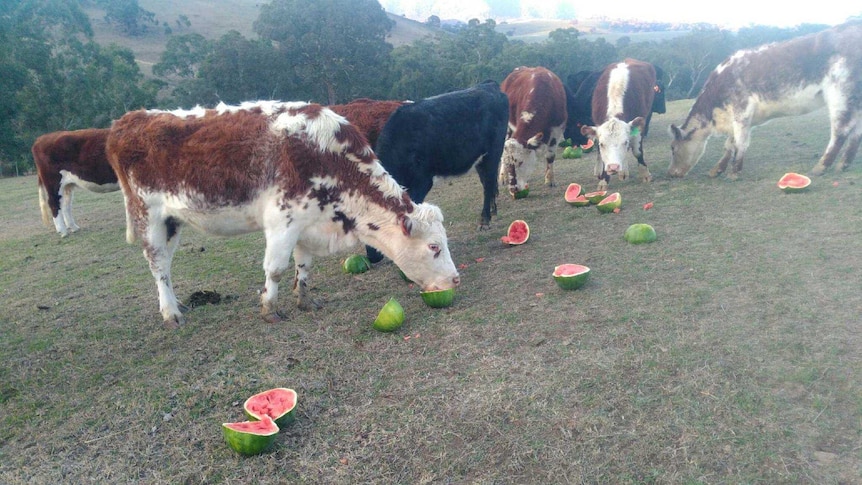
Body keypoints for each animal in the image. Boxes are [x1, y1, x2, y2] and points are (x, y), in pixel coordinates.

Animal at [107, 100, 462, 328]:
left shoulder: (308, 222)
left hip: (172, 221)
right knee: (157, 265)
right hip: (149, 217)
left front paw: (305, 300)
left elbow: (303, 265)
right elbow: (276, 268)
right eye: (434, 247)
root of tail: (127, 120)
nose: (455, 278)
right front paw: (270, 309)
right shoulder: (283, 220)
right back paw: (171, 313)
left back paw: (176, 303)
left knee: (165, 264)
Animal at [500, 66, 572, 195]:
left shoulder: (557, 129)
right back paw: (503, 176)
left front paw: (550, 180)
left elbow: (550, 155)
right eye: (509, 164)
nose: (513, 189)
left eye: (520, 162)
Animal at [584, 58, 660, 191]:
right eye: (602, 144)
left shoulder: (638, 128)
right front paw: (603, 180)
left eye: (624, 142)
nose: (613, 167)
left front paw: (645, 174)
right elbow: (602, 155)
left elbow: (637, 151)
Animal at [668, 21, 862, 178]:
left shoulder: (741, 109)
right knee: (856, 132)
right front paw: (717, 170)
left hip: (839, 93)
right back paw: (843, 165)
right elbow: (730, 144)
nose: (671, 173)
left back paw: (820, 167)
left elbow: (739, 142)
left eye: (673, 148)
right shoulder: (741, 118)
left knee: (841, 131)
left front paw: (734, 173)